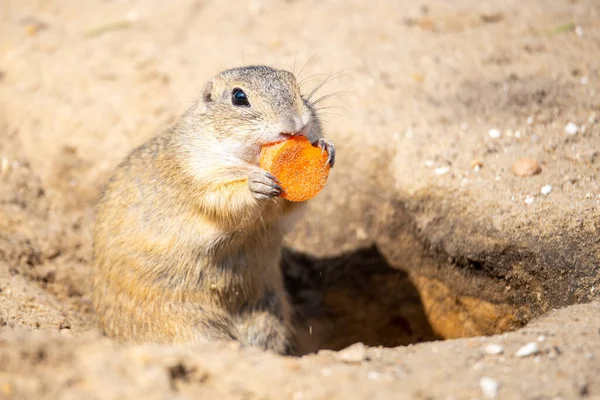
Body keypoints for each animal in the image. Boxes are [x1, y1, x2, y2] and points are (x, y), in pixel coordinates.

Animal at [94, 66, 338, 356]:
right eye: (239, 97)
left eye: (297, 86)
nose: (295, 126)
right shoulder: (199, 174)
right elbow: (224, 199)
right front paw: (256, 184)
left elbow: (294, 202)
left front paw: (326, 147)